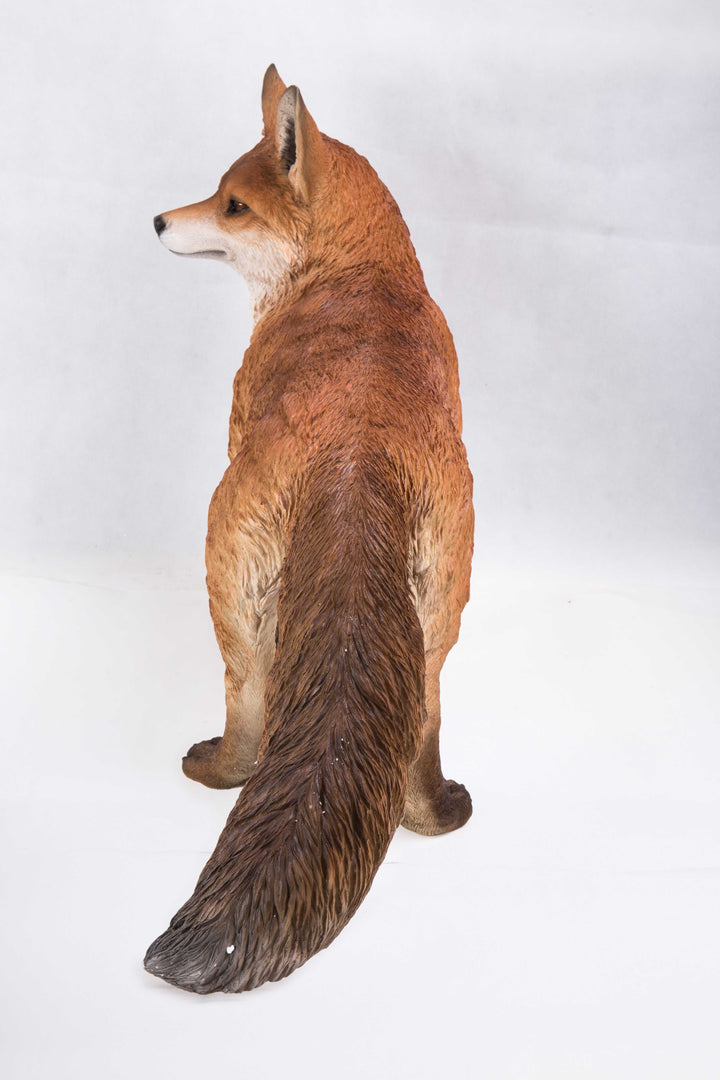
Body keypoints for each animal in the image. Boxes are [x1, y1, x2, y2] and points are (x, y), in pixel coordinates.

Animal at [144, 65, 474, 994]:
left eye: (230, 207)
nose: (157, 220)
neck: (357, 272)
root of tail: (354, 459)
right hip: (443, 607)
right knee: (424, 720)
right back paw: (431, 817)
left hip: (229, 579)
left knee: (250, 709)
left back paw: (219, 770)